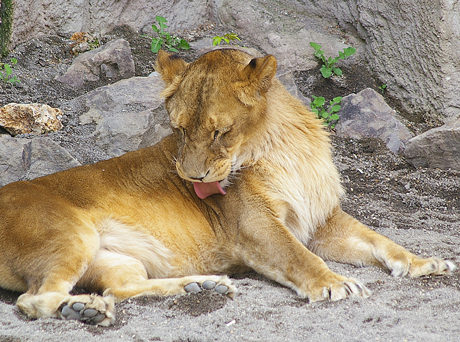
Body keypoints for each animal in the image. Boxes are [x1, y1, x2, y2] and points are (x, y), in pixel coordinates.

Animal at [0, 48, 454, 326]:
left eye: (220, 132)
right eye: (180, 130)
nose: (193, 178)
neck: (281, 148)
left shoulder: (321, 220)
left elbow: (380, 240)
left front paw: (423, 262)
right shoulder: (254, 226)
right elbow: (298, 256)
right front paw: (334, 283)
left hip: (111, 259)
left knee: (122, 286)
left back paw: (199, 285)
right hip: (70, 234)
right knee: (34, 299)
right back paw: (84, 309)